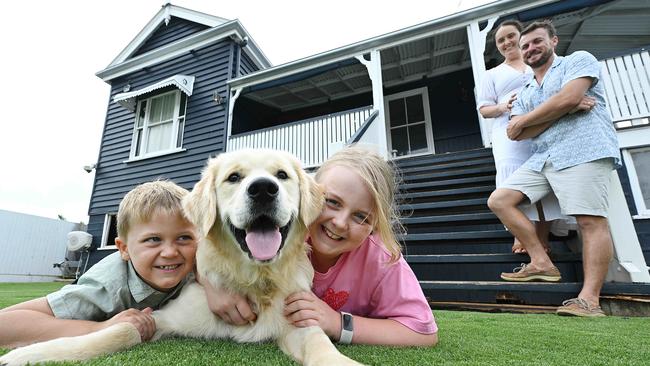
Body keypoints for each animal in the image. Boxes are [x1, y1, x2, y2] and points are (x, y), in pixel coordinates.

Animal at [0, 149, 360, 366]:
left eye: (282, 175)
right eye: (234, 177)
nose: (262, 189)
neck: (254, 280)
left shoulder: (298, 323)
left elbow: (321, 346)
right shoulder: (163, 317)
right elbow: (120, 330)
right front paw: (34, 353)